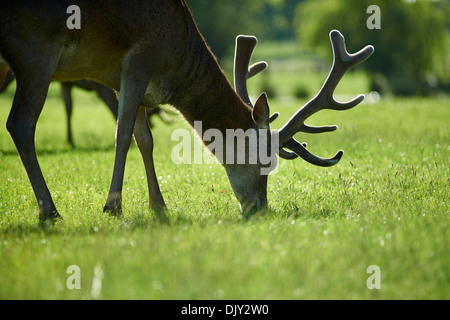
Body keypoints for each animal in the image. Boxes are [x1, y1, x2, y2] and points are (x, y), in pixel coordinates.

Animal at [0, 0, 372, 221]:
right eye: (267, 163)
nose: (259, 210)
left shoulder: (121, 79)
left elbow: (145, 139)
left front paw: (159, 206)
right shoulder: (138, 61)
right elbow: (123, 135)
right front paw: (113, 206)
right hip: (36, 47)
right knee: (20, 124)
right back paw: (49, 211)